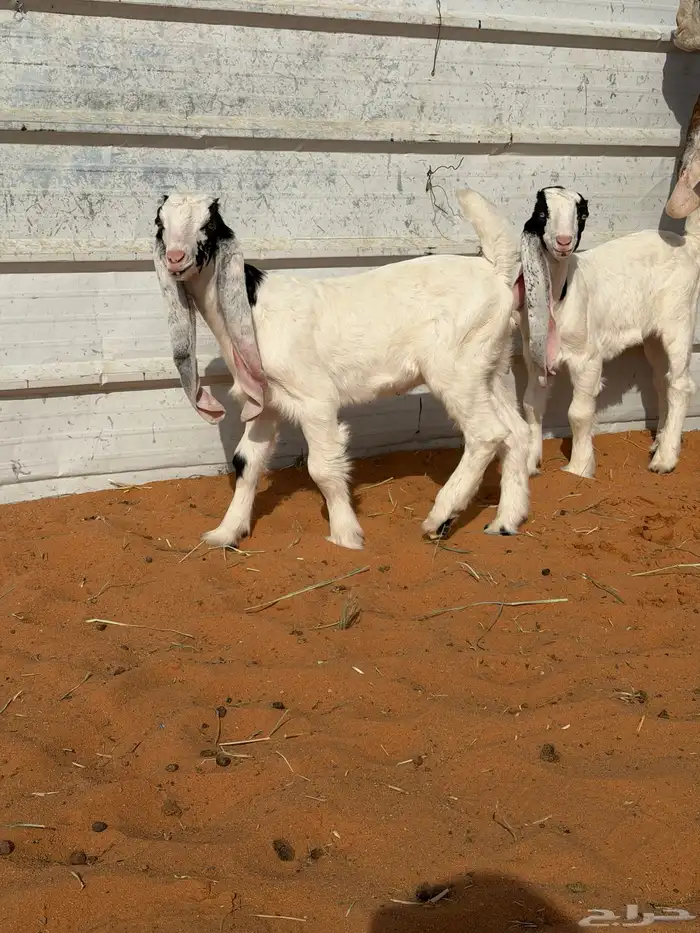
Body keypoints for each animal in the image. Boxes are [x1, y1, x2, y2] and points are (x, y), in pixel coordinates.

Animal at [153, 189, 532, 550]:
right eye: (160, 224)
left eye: (209, 225)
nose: (175, 258)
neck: (252, 305)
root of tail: (494, 271)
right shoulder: (267, 400)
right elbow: (246, 460)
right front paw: (225, 532)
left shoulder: (315, 398)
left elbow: (322, 468)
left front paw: (345, 535)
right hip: (490, 366)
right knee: (516, 431)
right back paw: (504, 522)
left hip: (455, 368)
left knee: (487, 434)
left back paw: (441, 516)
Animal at [520, 179, 698, 479]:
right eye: (542, 213)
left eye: (581, 215)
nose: (564, 241)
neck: (560, 297)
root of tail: (689, 245)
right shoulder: (535, 360)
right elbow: (532, 406)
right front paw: (530, 466)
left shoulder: (587, 359)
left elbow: (578, 414)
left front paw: (579, 469)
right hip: (654, 336)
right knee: (662, 380)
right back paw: (660, 442)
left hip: (679, 319)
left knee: (680, 385)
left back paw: (664, 460)